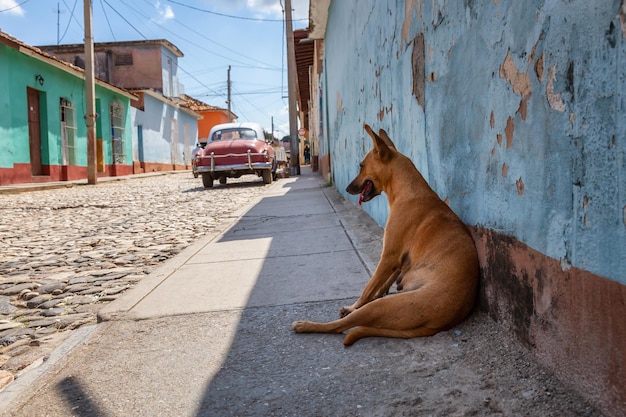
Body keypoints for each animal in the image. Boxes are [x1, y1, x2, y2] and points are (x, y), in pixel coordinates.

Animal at [290, 123, 476, 344]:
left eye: (361, 166)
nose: (347, 188)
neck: (408, 191)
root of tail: (440, 324)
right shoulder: (398, 260)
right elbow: (381, 284)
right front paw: (380, 290)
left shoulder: (388, 257)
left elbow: (367, 290)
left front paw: (354, 305)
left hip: (379, 308)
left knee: (340, 326)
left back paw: (306, 325)